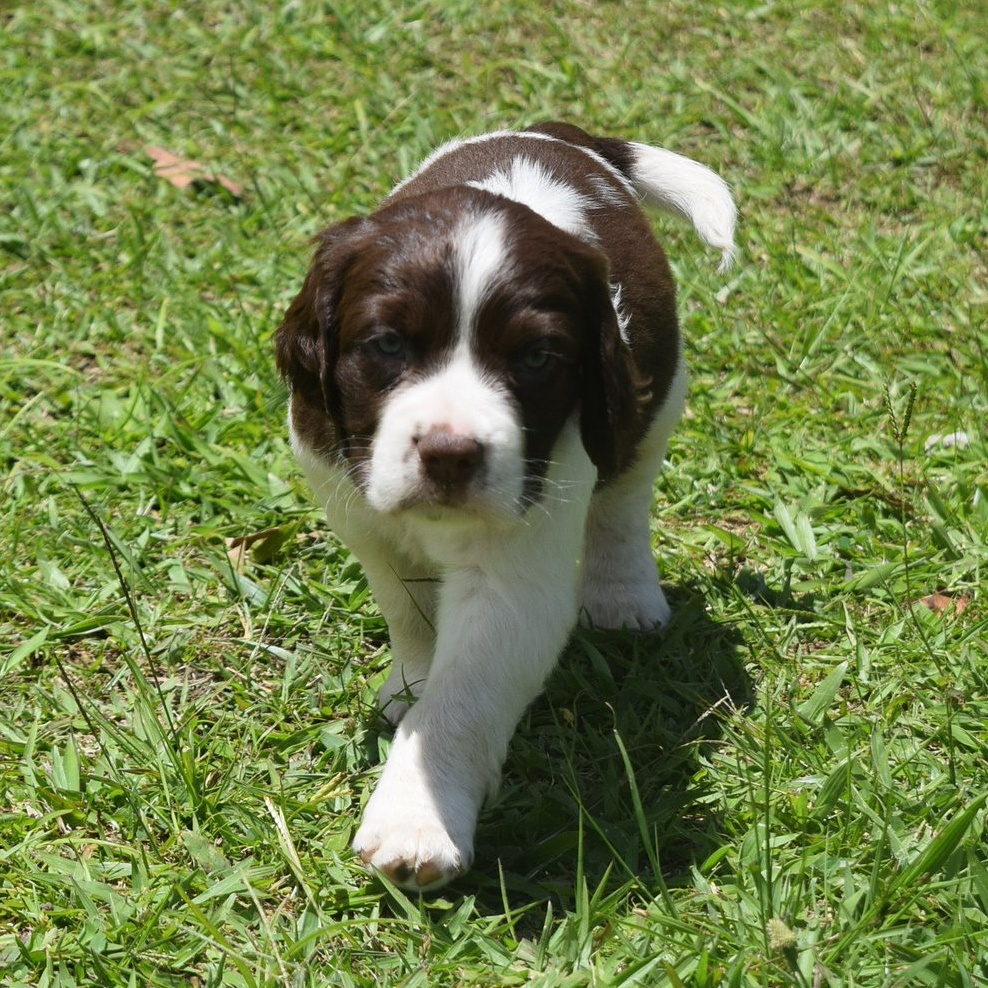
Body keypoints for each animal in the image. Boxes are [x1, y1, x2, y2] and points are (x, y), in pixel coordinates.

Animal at [275, 122, 736, 890]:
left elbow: (463, 697)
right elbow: (411, 611)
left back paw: (623, 595)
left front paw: (416, 823)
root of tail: (558, 130)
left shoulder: (519, 563)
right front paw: (411, 684)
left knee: (625, 500)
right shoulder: (360, 510)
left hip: (654, 399)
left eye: (536, 359)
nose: (450, 454)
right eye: (387, 344)